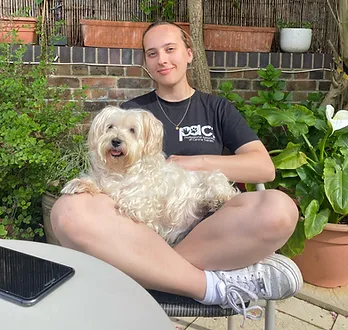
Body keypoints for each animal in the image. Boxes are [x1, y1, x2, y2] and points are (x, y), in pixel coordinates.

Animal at [61, 105, 238, 245]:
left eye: (132, 130)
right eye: (110, 127)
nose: (116, 141)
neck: (121, 169)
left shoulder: (143, 205)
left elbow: (126, 200)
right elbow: (97, 183)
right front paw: (79, 183)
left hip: (213, 178)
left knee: (226, 192)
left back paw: (219, 200)